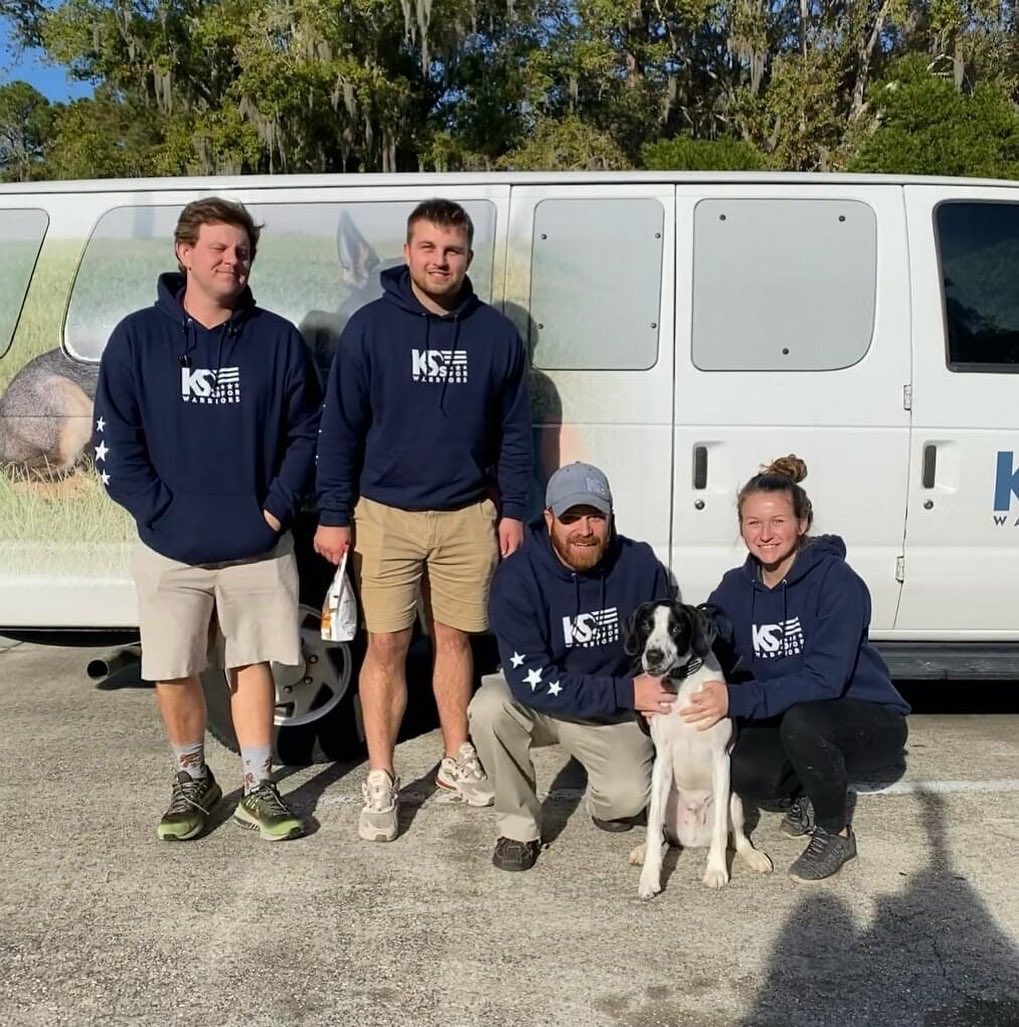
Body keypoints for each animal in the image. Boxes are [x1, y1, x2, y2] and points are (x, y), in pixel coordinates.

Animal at [620, 599, 772, 895]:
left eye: (677, 628)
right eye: (646, 625)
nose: (653, 656)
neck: (680, 683)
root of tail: (691, 839)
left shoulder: (721, 759)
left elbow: (720, 833)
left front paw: (716, 870)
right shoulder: (662, 762)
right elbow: (653, 830)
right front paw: (649, 877)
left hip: (734, 800)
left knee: (737, 837)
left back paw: (754, 856)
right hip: (653, 800)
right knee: (659, 832)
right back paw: (642, 851)